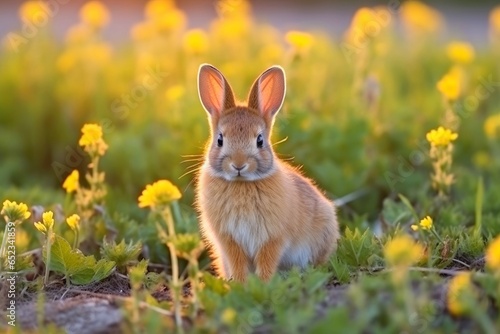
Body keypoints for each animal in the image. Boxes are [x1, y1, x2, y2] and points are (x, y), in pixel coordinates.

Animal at [195, 63, 340, 282]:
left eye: (260, 140)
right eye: (220, 139)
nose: (239, 165)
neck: (241, 184)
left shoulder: (272, 238)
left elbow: (267, 260)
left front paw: (263, 283)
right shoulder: (230, 240)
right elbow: (238, 263)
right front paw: (240, 283)